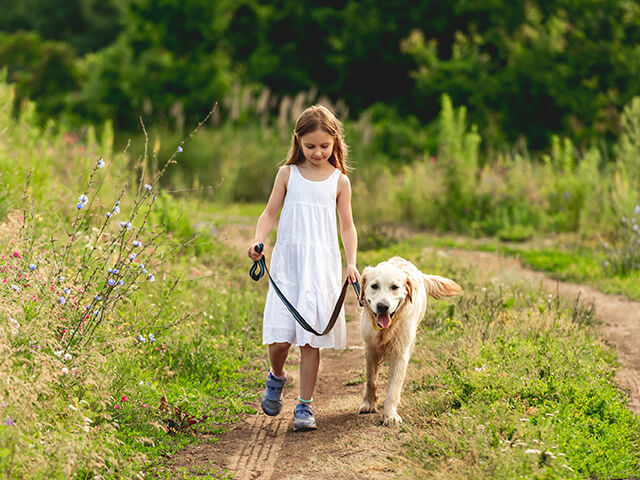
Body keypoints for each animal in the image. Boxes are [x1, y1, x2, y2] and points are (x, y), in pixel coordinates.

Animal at [360, 256, 460, 426]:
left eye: (394, 287)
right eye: (374, 286)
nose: (382, 307)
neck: (387, 329)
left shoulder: (401, 353)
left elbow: (394, 388)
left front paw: (390, 415)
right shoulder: (370, 348)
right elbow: (371, 380)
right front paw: (369, 403)